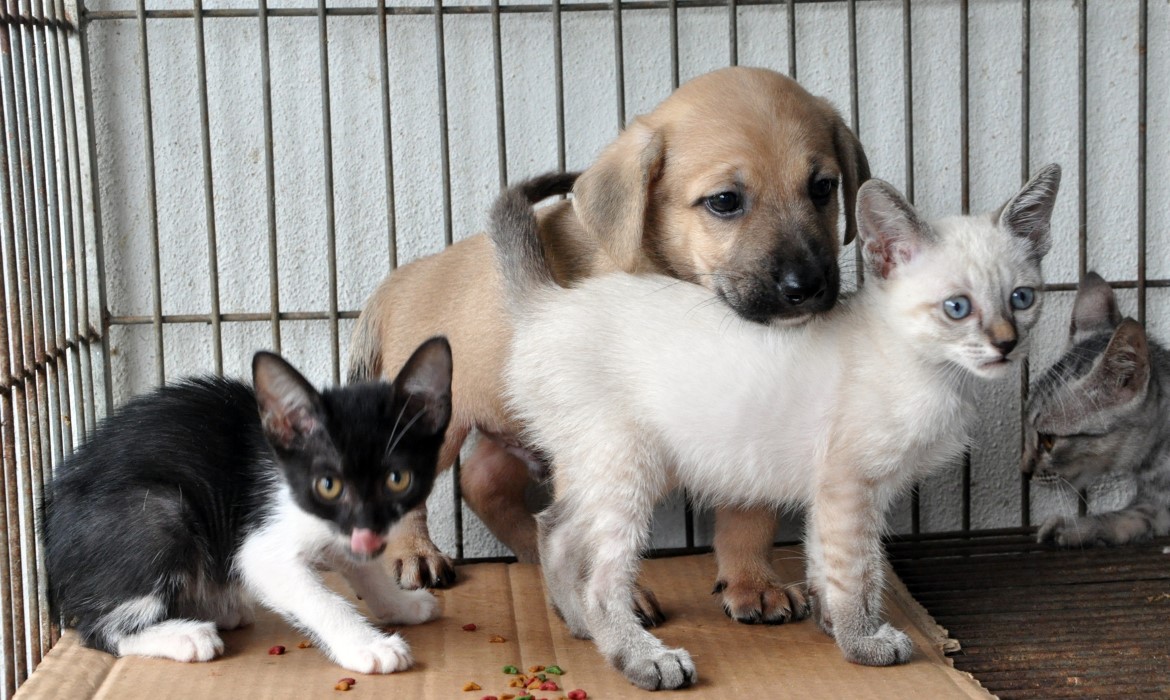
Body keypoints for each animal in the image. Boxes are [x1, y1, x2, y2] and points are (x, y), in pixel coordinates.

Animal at [44, 339, 451, 674]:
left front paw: (401, 604)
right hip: (158, 512)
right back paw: (185, 636)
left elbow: (363, 568)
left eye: (397, 479)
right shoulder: (262, 545)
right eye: (328, 485)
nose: (367, 528)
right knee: (100, 628)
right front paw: (367, 645)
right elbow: (321, 598)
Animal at [346, 65, 870, 627]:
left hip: (515, 423)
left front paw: (754, 583)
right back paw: (415, 553)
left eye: (823, 187)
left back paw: (533, 554)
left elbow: (749, 514)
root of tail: (401, 279)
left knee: (484, 482)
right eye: (725, 201)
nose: (806, 286)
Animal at [489, 167, 1067, 692]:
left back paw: (581, 626)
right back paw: (640, 655)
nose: (1006, 344)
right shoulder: (849, 485)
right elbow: (858, 570)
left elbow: (829, 561)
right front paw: (863, 642)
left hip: (612, 465)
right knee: (600, 576)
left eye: (1022, 298)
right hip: (627, 465)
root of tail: (551, 303)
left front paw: (834, 624)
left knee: (554, 527)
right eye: (957, 308)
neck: (935, 374)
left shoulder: (839, 492)